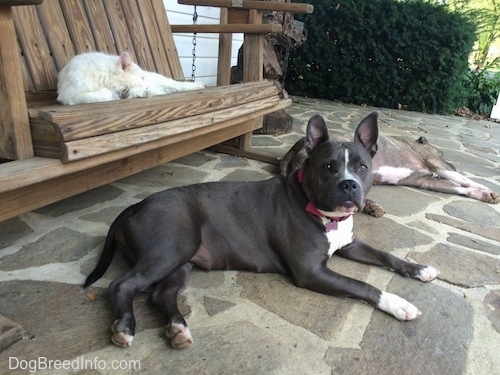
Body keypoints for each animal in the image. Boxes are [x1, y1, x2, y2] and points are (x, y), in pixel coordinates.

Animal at [57, 52, 206, 105]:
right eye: (141, 77)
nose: (146, 84)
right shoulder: (70, 95)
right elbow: (101, 95)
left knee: (177, 85)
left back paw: (198, 85)